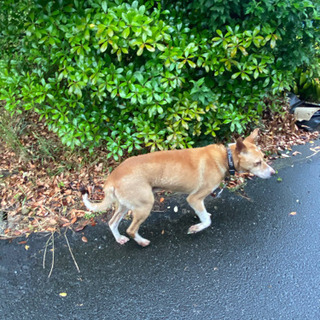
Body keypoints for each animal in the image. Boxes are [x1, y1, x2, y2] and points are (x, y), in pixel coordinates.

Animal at [82, 129, 276, 248]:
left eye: (264, 158)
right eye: (257, 163)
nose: (273, 173)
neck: (224, 157)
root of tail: (112, 178)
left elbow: (205, 214)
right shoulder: (194, 198)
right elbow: (207, 221)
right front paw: (196, 227)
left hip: (124, 205)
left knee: (112, 222)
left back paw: (119, 238)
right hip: (144, 205)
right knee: (131, 229)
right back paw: (142, 242)